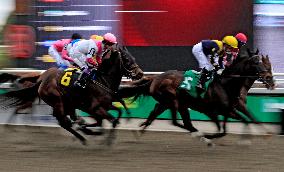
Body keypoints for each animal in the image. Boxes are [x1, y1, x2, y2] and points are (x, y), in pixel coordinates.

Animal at [1, 46, 144, 144]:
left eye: (133, 57)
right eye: (126, 59)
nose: (140, 74)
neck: (103, 80)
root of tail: (41, 79)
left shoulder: (105, 106)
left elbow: (117, 114)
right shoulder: (95, 108)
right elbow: (112, 120)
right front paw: (105, 140)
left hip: (68, 103)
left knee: (66, 121)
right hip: (57, 101)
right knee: (64, 122)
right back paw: (82, 137)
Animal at [119, 52, 276, 141]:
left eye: (268, 65)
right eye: (256, 63)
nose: (270, 79)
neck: (226, 84)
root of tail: (155, 78)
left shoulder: (229, 110)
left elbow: (244, 120)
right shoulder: (213, 111)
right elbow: (223, 129)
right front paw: (209, 136)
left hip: (170, 103)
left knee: (158, 112)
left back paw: (141, 128)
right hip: (173, 101)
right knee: (177, 121)